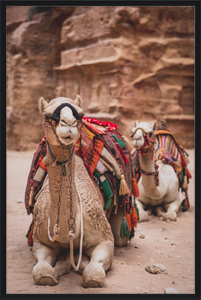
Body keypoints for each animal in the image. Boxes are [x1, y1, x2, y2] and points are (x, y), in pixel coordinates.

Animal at [30, 96, 130, 288]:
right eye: (47, 115)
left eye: (80, 114)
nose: (68, 123)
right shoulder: (40, 240)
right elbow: (41, 272)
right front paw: (56, 269)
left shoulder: (105, 238)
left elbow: (93, 274)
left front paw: (77, 261)